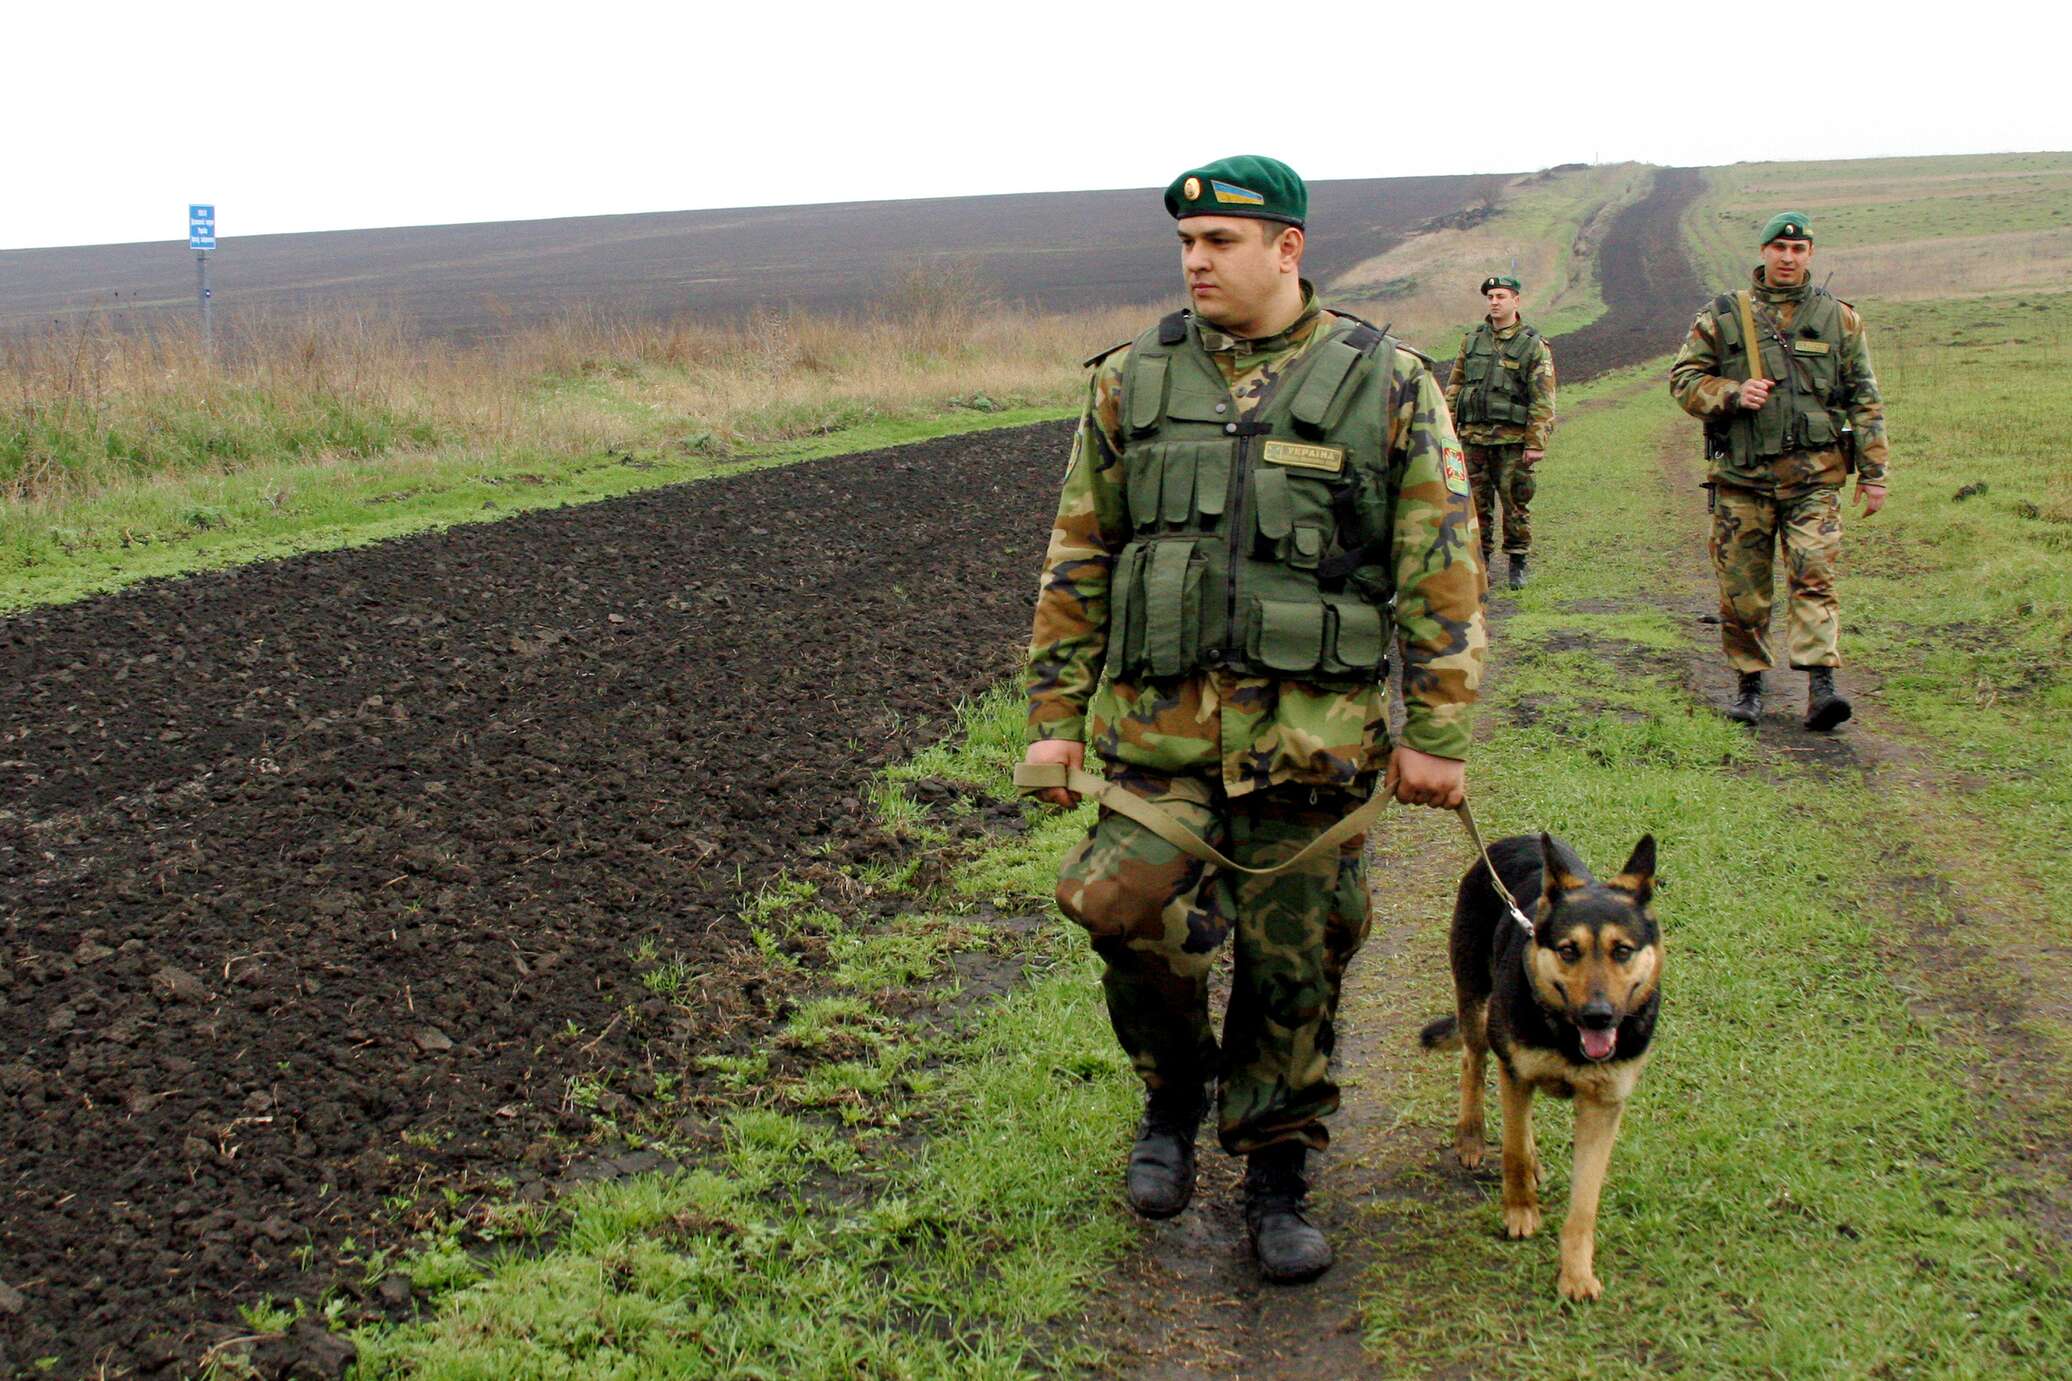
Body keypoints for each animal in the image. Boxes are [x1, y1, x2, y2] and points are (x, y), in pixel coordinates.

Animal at [1417, 836, 1657, 1300]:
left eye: (1621, 951)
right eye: (1568, 951)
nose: (1598, 1017)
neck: (1565, 1032)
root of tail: (1514, 839)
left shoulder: (1602, 1107)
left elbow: (1584, 1204)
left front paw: (1576, 1274)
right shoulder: (1516, 1073)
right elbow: (1511, 1151)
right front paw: (1520, 1213)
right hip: (1476, 1005)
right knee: (1473, 1061)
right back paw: (1471, 1137)